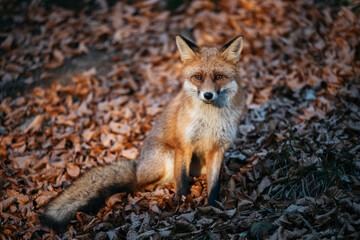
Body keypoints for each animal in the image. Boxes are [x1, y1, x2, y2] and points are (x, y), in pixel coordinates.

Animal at [40, 34, 246, 232]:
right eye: (198, 77)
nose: (208, 95)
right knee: (142, 186)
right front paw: (182, 206)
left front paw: (213, 208)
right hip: (167, 156)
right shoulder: (184, 145)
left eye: (219, 76)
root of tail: (137, 169)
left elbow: (214, 185)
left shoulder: (218, 148)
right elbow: (181, 182)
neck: (210, 119)